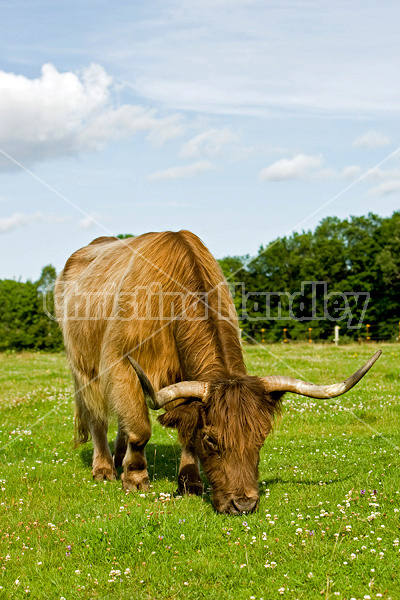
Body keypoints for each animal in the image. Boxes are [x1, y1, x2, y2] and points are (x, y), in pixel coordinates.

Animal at [54, 232, 380, 512]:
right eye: (212, 440)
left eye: (261, 437)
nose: (244, 505)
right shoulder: (123, 366)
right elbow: (140, 428)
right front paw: (135, 479)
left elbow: (182, 430)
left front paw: (189, 483)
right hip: (83, 368)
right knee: (97, 417)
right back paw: (104, 468)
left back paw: (119, 457)